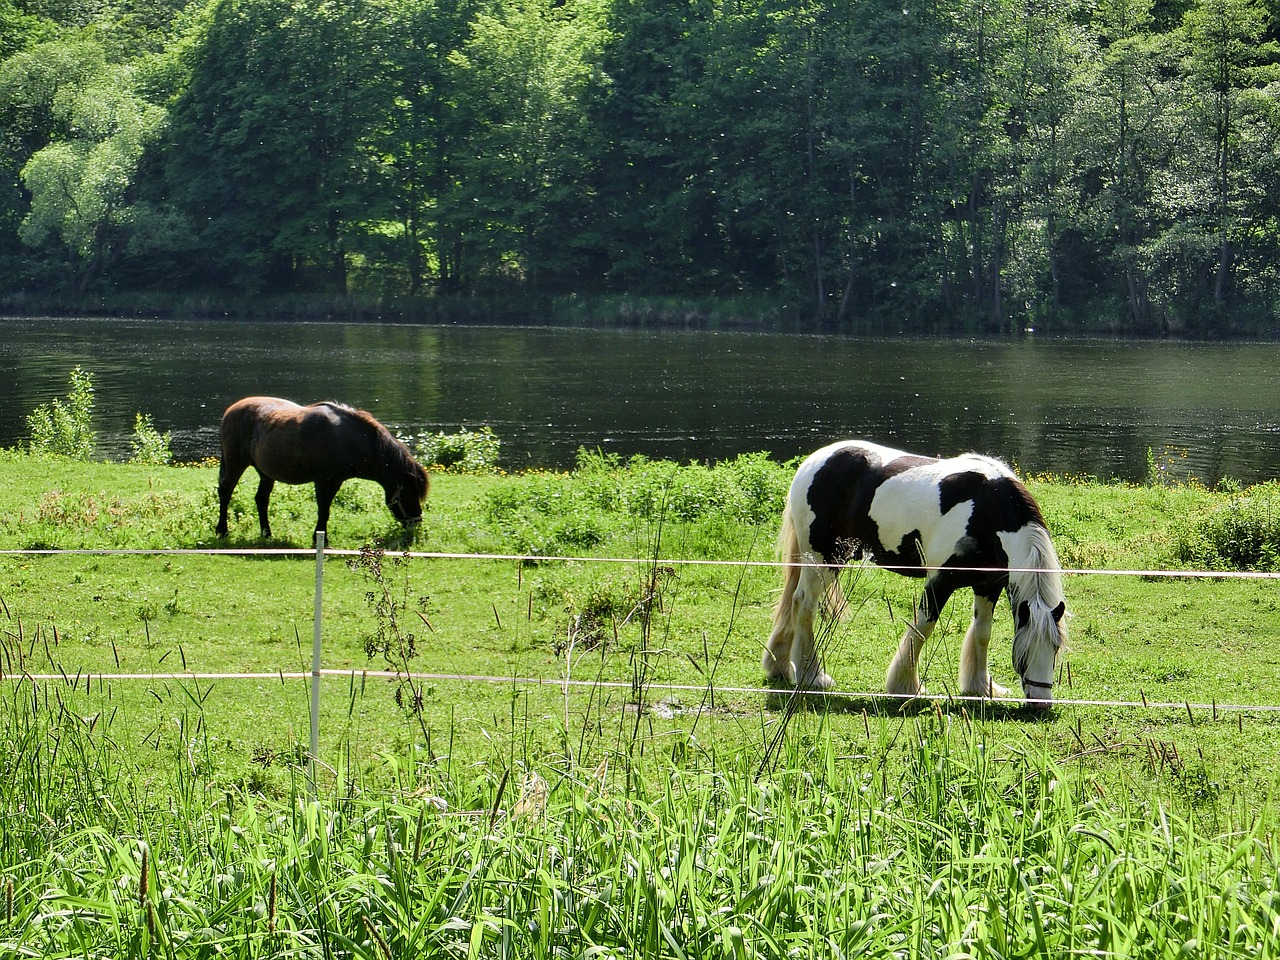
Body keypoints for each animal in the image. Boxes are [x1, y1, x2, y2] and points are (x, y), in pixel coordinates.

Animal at [757, 442, 1070, 706]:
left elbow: (983, 633)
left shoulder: (987, 585)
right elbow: (923, 628)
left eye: (1056, 648)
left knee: (792, 604)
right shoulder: (940, 581)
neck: (985, 510)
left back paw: (780, 666)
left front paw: (980, 687)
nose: (1041, 703)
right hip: (824, 560)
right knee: (804, 605)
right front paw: (905, 685)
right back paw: (813, 676)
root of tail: (812, 462)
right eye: (1024, 653)